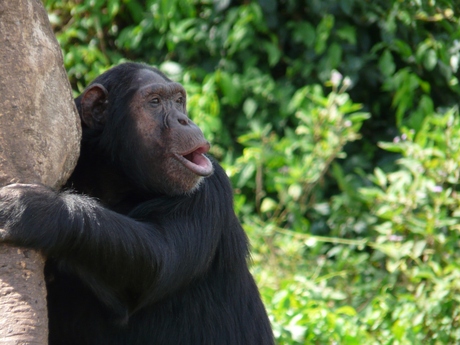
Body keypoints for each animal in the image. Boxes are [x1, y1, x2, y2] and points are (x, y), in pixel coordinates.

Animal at [0, 62, 274, 344]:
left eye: (178, 101)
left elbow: (159, 259)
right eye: (155, 102)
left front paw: (31, 210)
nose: (184, 120)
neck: (117, 179)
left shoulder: (207, 194)